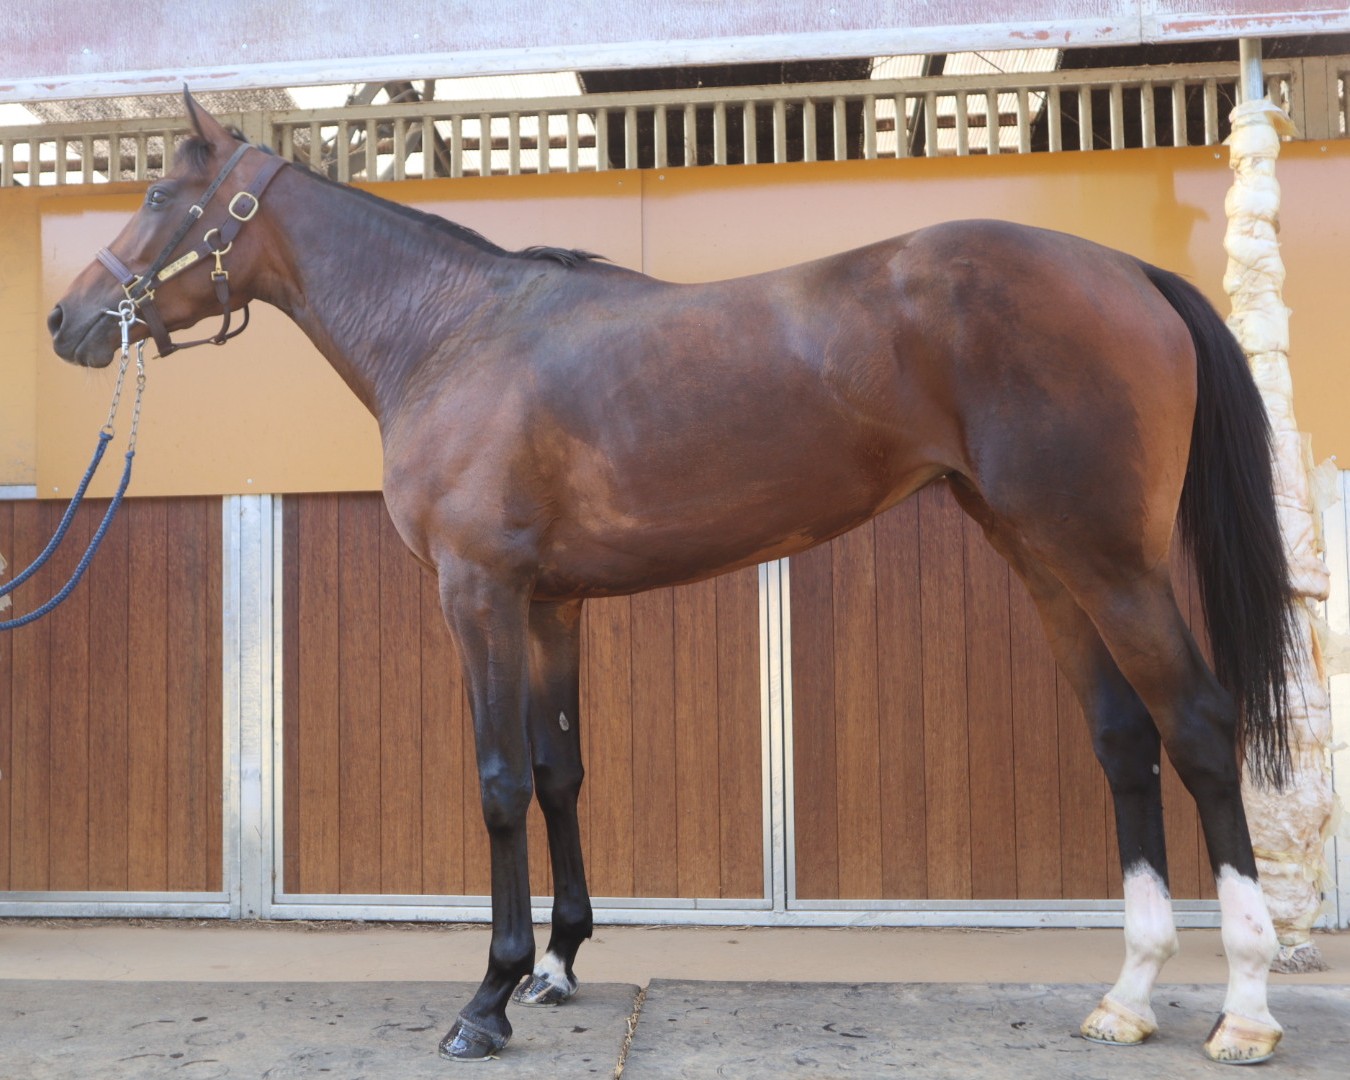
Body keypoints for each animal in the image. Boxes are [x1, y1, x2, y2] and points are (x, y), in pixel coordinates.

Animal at [48, 91, 1297, 1065]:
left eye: (157, 196)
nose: (67, 319)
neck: (451, 333)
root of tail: (1127, 271)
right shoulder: (550, 605)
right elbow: (559, 771)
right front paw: (558, 965)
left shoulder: (477, 594)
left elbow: (498, 780)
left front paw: (488, 999)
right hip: (1039, 554)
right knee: (1122, 740)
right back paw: (1126, 999)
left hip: (1108, 558)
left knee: (1197, 725)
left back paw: (1243, 1008)